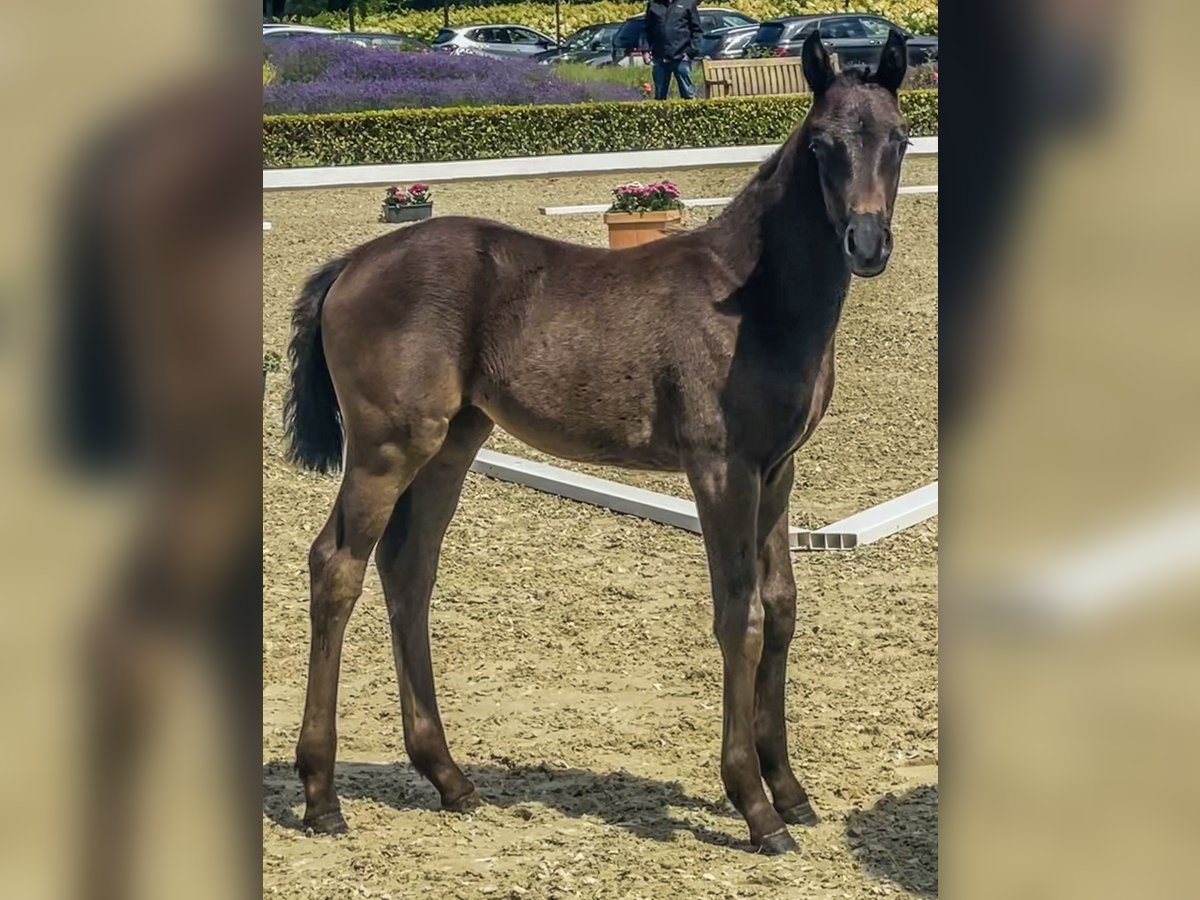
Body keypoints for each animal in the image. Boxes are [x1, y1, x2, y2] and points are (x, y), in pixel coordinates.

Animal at [285, 31, 907, 854]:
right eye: (823, 144)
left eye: (899, 138)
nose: (866, 243)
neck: (750, 298)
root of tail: (354, 261)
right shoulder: (722, 470)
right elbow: (737, 615)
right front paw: (755, 806)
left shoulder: (778, 469)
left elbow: (780, 608)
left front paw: (792, 790)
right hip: (386, 447)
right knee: (338, 567)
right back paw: (322, 797)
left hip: (452, 443)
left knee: (408, 569)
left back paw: (450, 778)